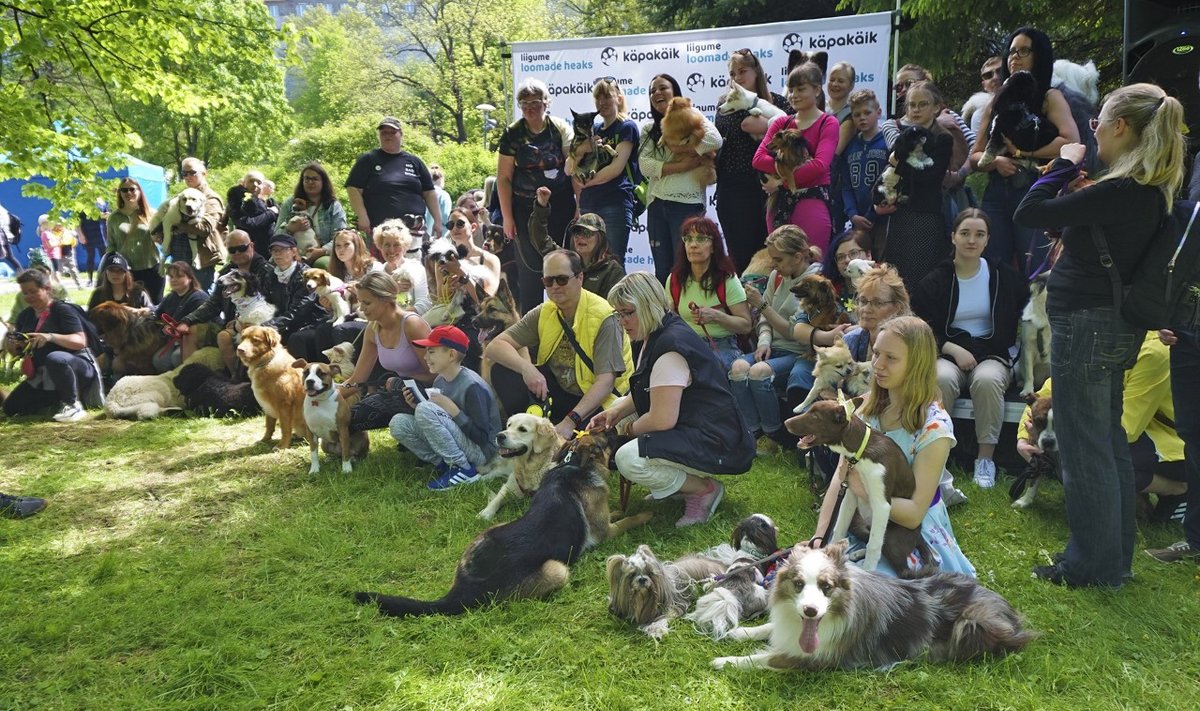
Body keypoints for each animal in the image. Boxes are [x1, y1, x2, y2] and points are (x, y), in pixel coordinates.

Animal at [355, 427, 657, 614]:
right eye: (604, 438)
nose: (616, 429)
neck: (573, 465)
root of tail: (462, 588)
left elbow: (616, 513)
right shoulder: (606, 532)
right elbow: (629, 519)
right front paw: (646, 514)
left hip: (489, 530)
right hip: (557, 569)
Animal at [705, 540, 1036, 667]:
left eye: (826, 587)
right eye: (799, 585)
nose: (810, 610)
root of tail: (1002, 605)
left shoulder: (816, 660)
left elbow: (763, 659)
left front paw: (725, 662)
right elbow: (770, 628)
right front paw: (740, 633)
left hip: (972, 624)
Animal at [787, 393, 936, 576]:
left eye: (815, 417)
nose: (786, 423)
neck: (861, 450)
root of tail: (919, 534)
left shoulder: (881, 505)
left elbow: (874, 546)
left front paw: (868, 571)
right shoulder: (850, 495)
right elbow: (838, 529)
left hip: (893, 539)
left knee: (900, 566)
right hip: (860, 523)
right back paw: (858, 553)